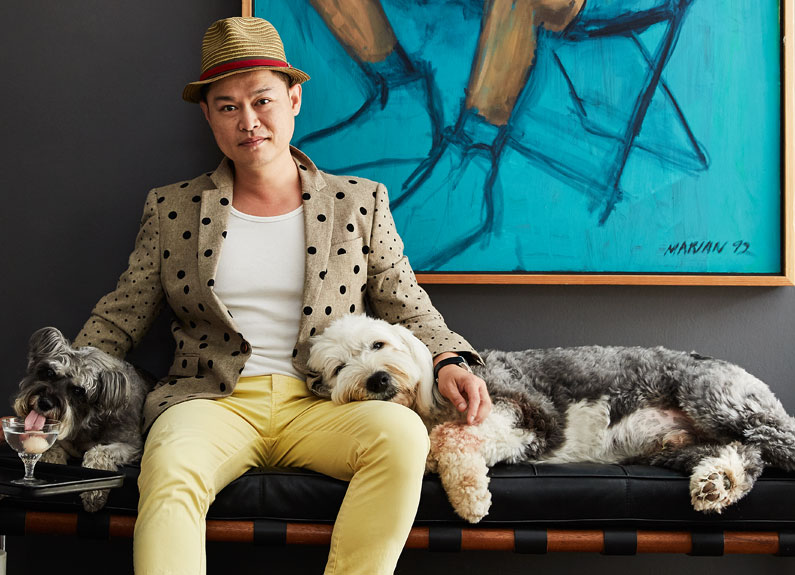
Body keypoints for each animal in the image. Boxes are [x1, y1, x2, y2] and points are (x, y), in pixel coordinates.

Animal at [12, 328, 151, 512]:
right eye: (49, 373)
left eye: (78, 391)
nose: (44, 403)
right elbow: (50, 448)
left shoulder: (131, 445)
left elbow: (98, 452)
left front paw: (93, 494)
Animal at [308, 312, 795, 524]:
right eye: (338, 368)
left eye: (378, 344)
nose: (376, 380)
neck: (427, 404)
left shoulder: (523, 415)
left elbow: (453, 438)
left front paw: (471, 499)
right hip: (674, 446)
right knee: (743, 455)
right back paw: (718, 483)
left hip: (718, 399)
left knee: (774, 440)